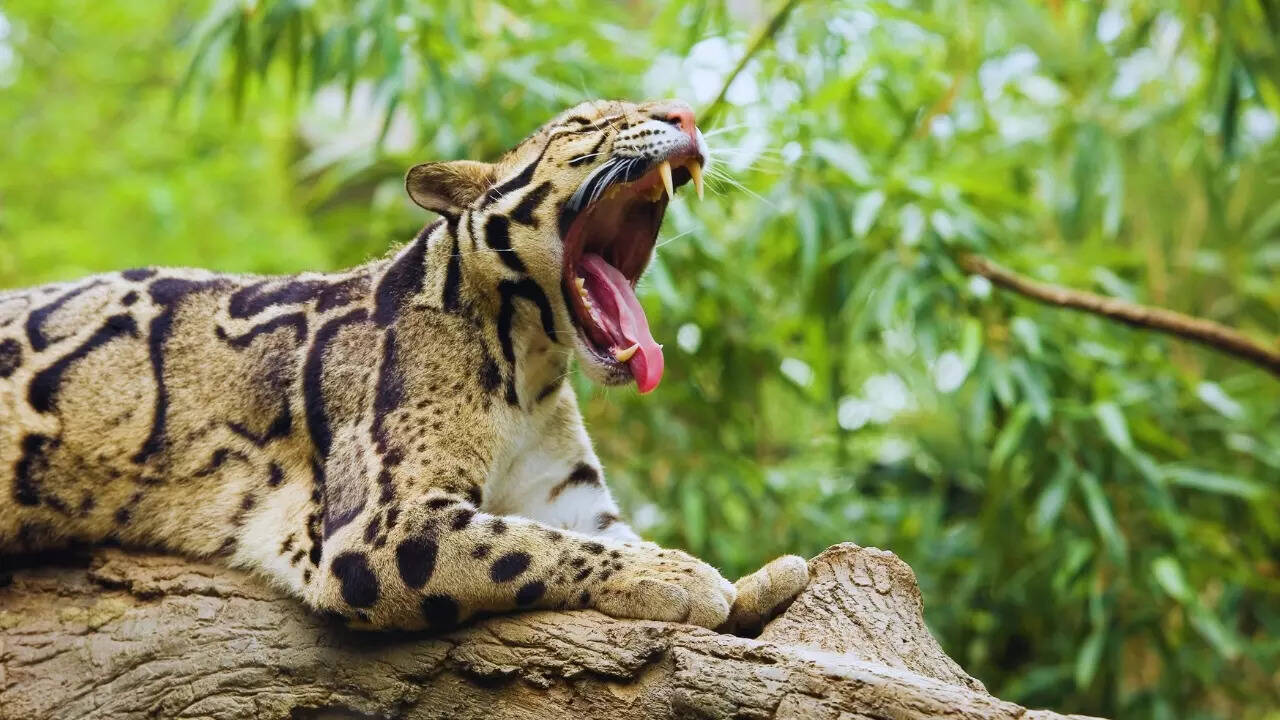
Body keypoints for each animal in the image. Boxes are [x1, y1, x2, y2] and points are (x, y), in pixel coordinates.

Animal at [0, 99, 808, 633]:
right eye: (583, 124)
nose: (687, 114)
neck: (530, 373)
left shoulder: (567, 494)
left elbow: (589, 536)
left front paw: (754, 580)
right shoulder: (378, 527)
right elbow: (529, 547)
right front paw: (682, 576)